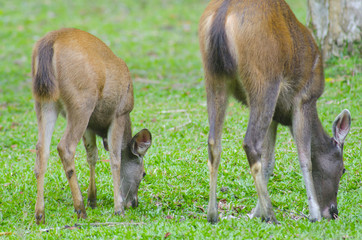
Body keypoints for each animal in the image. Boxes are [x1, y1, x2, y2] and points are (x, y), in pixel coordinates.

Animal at [31, 28, 152, 225]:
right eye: (143, 174)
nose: (134, 203)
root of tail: (49, 42)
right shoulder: (119, 113)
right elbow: (115, 159)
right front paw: (118, 209)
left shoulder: (91, 125)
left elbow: (92, 156)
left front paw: (93, 199)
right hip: (82, 100)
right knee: (65, 147)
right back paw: (80, 209)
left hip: (44, 101)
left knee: (41, 148)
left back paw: (40, 214)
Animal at [198, 0, 350, 224]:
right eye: (342, 169)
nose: (333, 211)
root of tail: (222, 16)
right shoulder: (304, 99)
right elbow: (305, 158)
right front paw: (313, 214)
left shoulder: (276, 116)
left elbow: (269, 161)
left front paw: (254, 213)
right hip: (264, 78)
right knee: (250, 143)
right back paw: (271, 215)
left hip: (213, 77)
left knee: (214, 143)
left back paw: (213, 214)